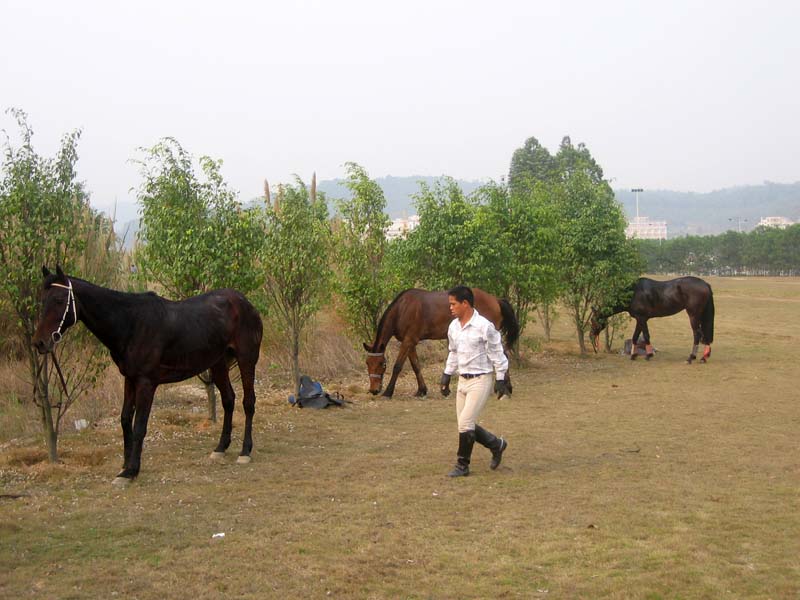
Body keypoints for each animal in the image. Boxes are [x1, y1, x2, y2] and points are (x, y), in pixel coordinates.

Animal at [32, 264, 262, 486]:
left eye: (59, 300)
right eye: (42, 300)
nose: (40, 343)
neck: (130, 323)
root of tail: (244, 302)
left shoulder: (146, 383)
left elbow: (139, 426)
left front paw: (131, 471)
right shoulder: (130, 379)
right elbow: (125, 420)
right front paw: (125, 465)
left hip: (246, 359)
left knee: (248, 402)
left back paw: (245, 451)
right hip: (218, 364)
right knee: (228, 400)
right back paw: (220, 448)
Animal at [362, 288, 520, 396]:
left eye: (382, 364)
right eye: (367, 363)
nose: (374, 390)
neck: (402, 309)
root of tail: (496, 300)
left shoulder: (408, 341)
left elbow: (397, 366)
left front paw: (388, 392)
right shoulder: (410, 343)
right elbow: (416, 366)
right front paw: (422, 390)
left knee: (502, 357)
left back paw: (504, 387)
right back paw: (506, 387)